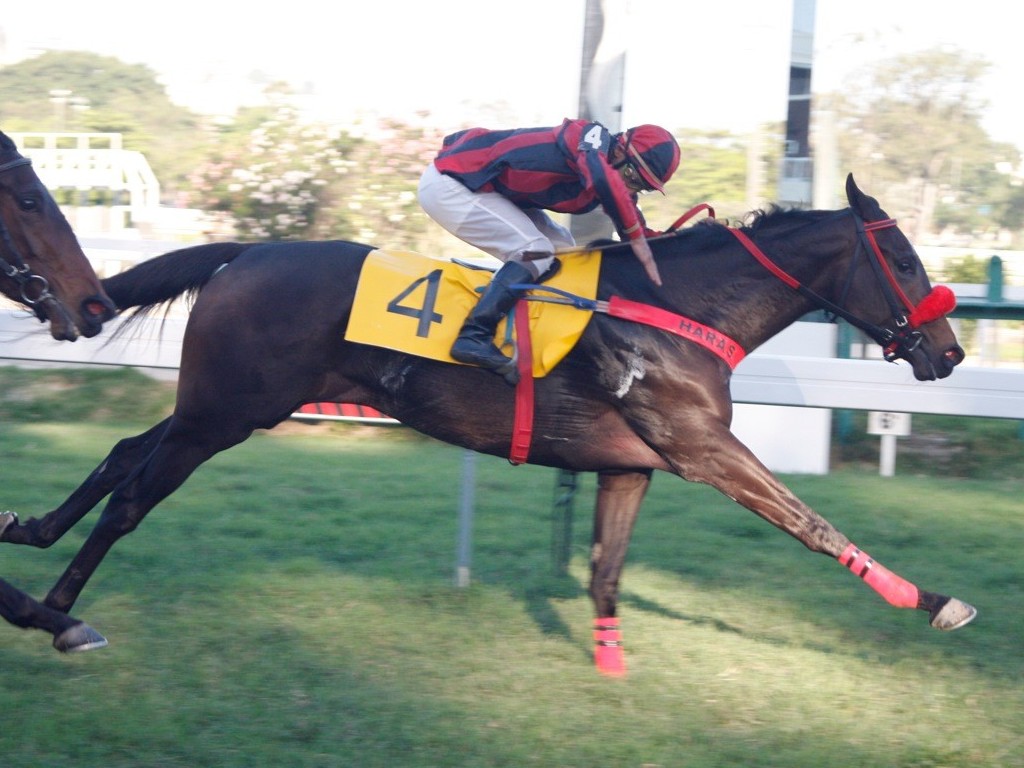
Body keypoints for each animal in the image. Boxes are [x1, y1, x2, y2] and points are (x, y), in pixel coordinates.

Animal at [0, 174, 974, 671]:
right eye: (900, 255)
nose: (950, 351)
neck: (675, 309)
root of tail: (247, 251)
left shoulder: (632, 464)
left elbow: (606, 573)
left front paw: (610, 665)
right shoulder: (703, 448)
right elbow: (811, 522)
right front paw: (931, 601)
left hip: (218, 406)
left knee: (124, 451)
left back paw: (32, 535)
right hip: (226, 412)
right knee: (132, 500)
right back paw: (59, 613)